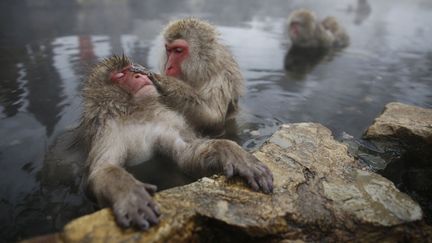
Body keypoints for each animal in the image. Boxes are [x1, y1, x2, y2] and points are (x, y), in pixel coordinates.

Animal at [77, 56, 274, 231]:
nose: (139, 75)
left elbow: (184, 154)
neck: (136, 113)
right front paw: (128, 193)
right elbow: (102, 169)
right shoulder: (107, 132)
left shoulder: (163, 122)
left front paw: (231, 152)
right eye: (120, 75)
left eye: (132, 69)